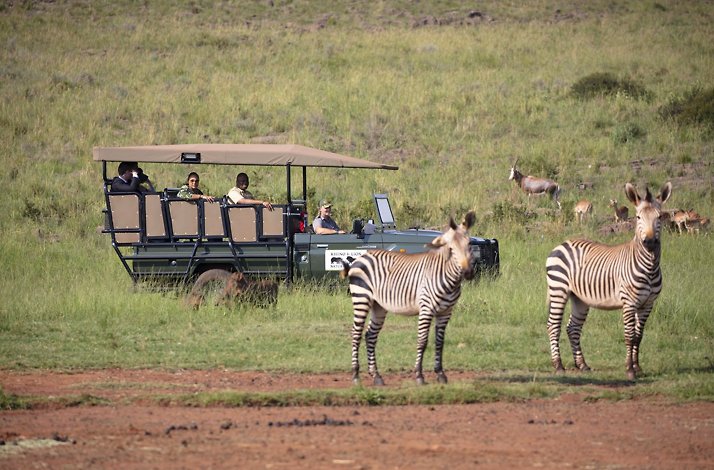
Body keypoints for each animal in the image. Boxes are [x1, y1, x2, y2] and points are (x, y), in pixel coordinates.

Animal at [342, 212, 476, 386]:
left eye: (469, 244)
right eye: (451, 249)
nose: (468, 273)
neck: (447, 277)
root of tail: (362, 256)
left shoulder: (446, 312)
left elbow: (440, 342)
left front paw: (440, 374)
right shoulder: (426, 309)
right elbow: (422, 341)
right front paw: (419, 375)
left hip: (378, 306)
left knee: (370, 335)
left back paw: (376, 376)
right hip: (361, 299)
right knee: (356, 334)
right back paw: (356, 375)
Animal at [546, 182, 672, 380]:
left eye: (659, 217)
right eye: (638, 217)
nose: (650, 242)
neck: (649, 268)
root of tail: (563, 243)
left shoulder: (647, 304)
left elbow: (639, 336)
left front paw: (638, 367)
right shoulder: (629, 302)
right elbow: (629, 335)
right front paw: (629, 369)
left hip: (579, 298)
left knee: (573, 328)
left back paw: (582, 365)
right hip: (558, 289)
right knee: (553, 325)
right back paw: (558, 366)